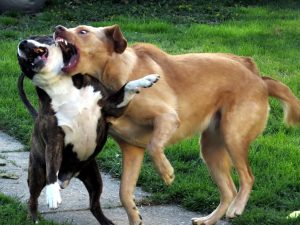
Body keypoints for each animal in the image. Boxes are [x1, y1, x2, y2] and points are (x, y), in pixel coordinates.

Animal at [16, 36, 158, 224]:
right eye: (19, 58)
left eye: (37, 37)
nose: (22, 44)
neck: (59, 84)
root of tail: (67, 178)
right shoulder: (54, 139)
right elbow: (52, 168)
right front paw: (52, 194)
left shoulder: (111, 107)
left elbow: (127, 86)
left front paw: (145, 80)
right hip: (37, 173)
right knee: (33, 197)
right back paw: (34, 217)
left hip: (94, 178)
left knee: (94, 204)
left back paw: (106, 222)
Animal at [52, 24, 300, 225]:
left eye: (83, 31)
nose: (57, 28)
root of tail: (260, 78)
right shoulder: (132, 150)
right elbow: (124, 192)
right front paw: (135, 217)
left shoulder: (167, 117)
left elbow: (155, 146)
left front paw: (167, 173)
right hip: (210, 149)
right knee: (228, 190)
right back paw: (209, 219)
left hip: (233, 137)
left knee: (247, 177)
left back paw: (237, 208)